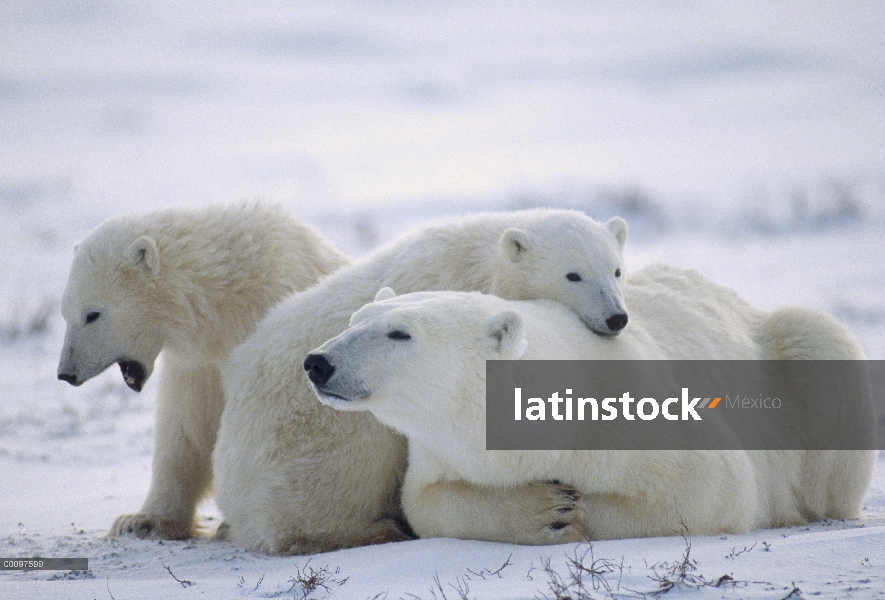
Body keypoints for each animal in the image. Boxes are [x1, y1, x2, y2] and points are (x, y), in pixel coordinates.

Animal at [56, 204, 348, 540]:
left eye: (92, 314)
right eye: (65, 313)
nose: (66, 373)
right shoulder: (197, 364)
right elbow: (186, 428)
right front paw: (141, 520)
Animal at [212, 210, 628, 552]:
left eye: (616, 270)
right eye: (573, 274)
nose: (616, 318)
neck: (483, 260)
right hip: (306, 446)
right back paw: (376, 530)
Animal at [308, 286, 872, 544]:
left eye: (399, 332)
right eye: (355, 318)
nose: (318, 362)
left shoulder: (634, 414)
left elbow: (712, 486)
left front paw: (575, 512)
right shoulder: (440, 453)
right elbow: (427, 502)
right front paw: (546, 509)